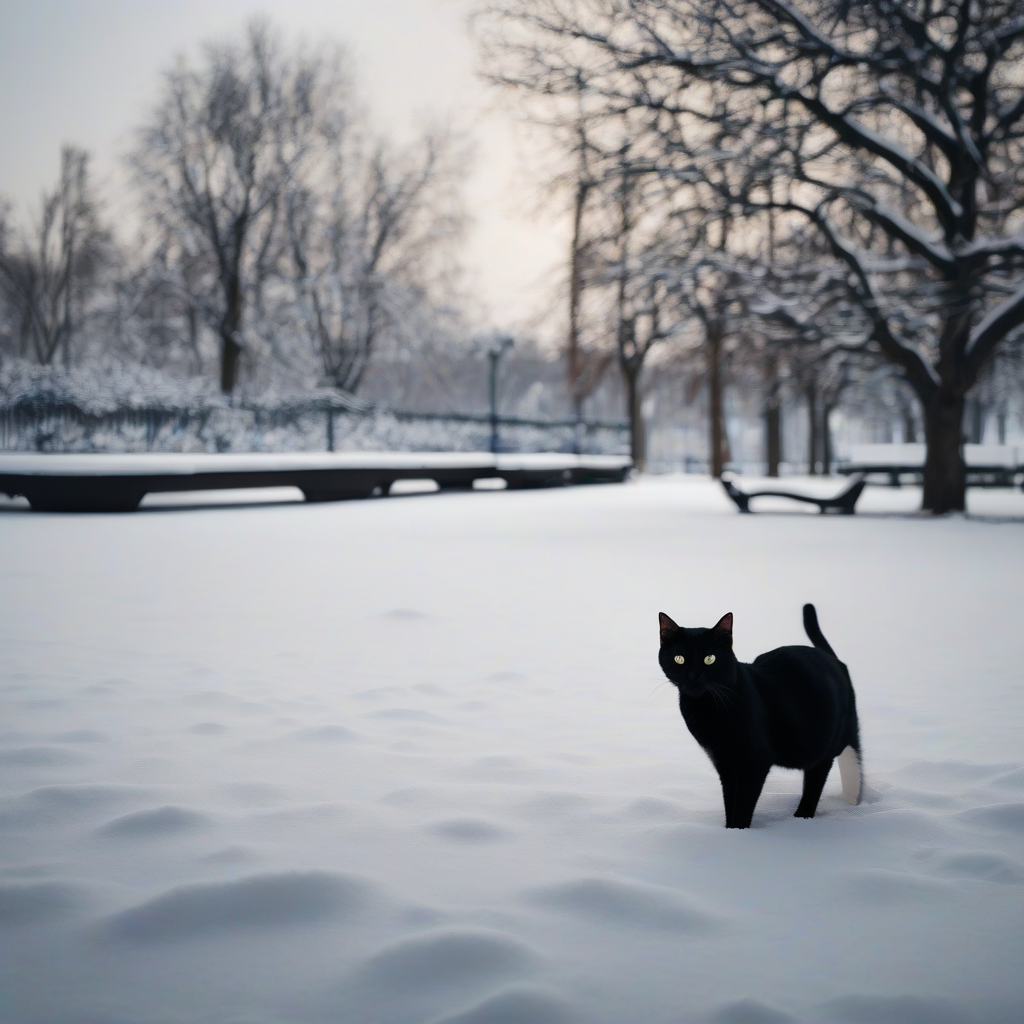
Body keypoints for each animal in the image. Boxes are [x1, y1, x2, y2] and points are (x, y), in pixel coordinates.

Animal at [655, 602, 864, 827]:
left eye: (709, 659)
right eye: (679, 659)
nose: (693, 676)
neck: (706, 708)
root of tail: (831, 657)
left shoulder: (754, 761)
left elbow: (742, 805)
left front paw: (740, 831)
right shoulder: (724, 762)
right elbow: (730, 801)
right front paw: (729, 831)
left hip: (830, 741)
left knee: (832, 770)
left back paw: (811, 814)